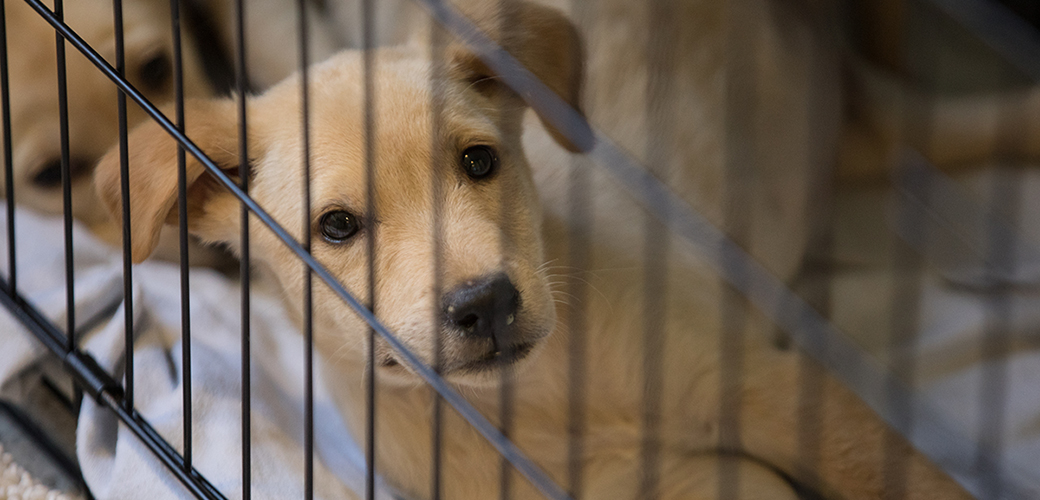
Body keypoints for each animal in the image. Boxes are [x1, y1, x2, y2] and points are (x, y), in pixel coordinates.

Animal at [95, 1, 981, 496]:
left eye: (480, 161)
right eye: (337, 227)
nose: (485, 304)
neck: (535, 401)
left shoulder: (770, 387)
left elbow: (913, 482)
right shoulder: (698, 481)